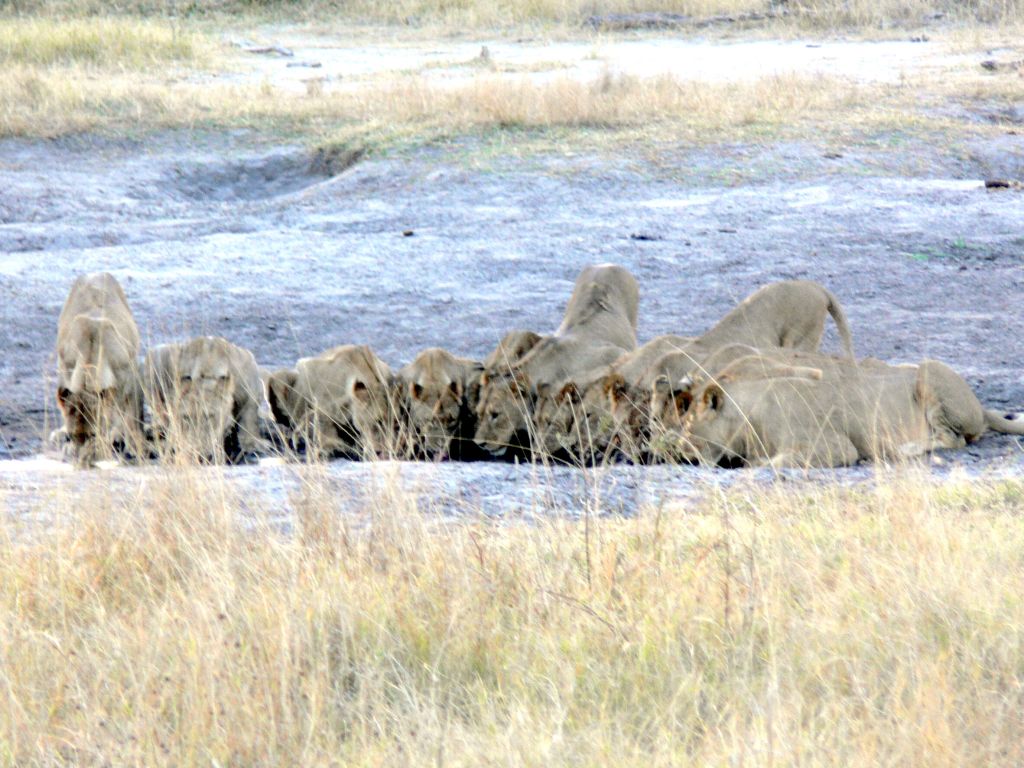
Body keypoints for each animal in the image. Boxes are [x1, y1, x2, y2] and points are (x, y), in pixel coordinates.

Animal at [54, 274, 144, 466]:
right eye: (70, 436)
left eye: (93, 435)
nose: (80, 461)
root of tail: (95, 274)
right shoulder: (65, 368)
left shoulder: (130, 375)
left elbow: (131, 415)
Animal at [675, 356, 1019, 468]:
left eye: (690, 425)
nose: (679, 453)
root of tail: (981, 406)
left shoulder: (836, 446)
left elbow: (778, 461)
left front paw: (754, 462)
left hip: (928, 373)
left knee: (954, 439)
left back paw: (902, 449)